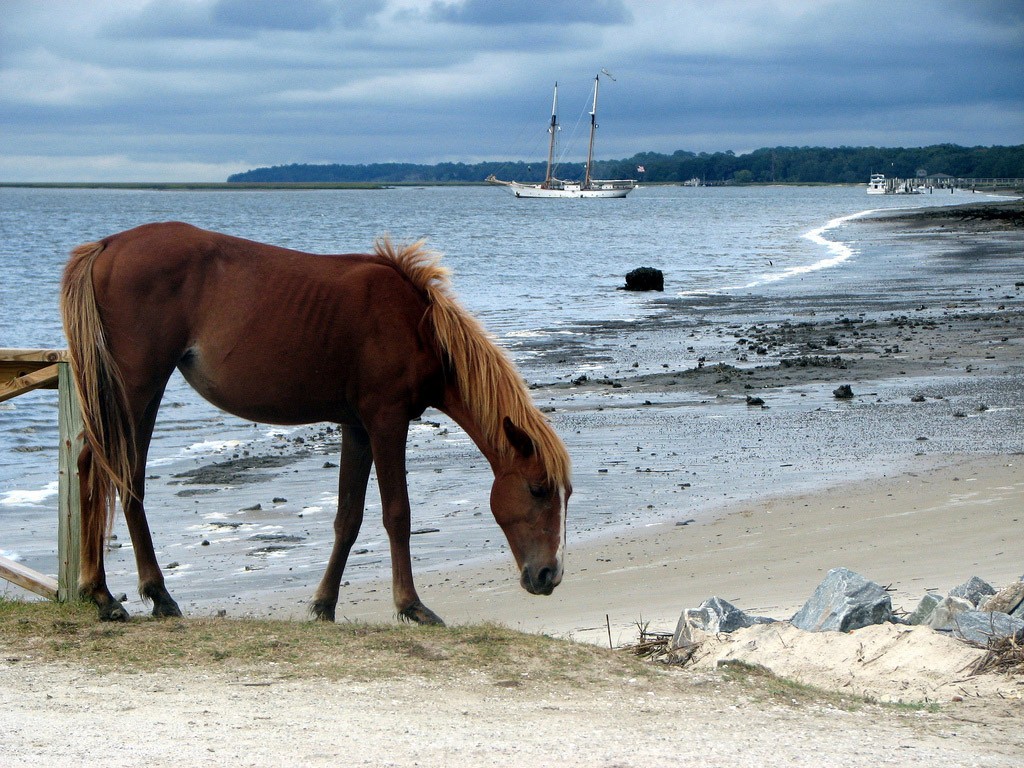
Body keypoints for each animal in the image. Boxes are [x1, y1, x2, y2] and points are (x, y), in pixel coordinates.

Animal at [59, 222, 573, 626]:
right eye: (538, 489)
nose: (550, 576)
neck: (415, 324)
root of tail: (107, 245)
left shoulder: (357, 428)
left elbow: (348, 517)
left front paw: (324, 604)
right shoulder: (386, 422)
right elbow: (397, 514)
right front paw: (411, 605)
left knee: (107, 469)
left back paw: (119, 594)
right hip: (135, 387)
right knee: (109, 470)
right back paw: (122, 596)